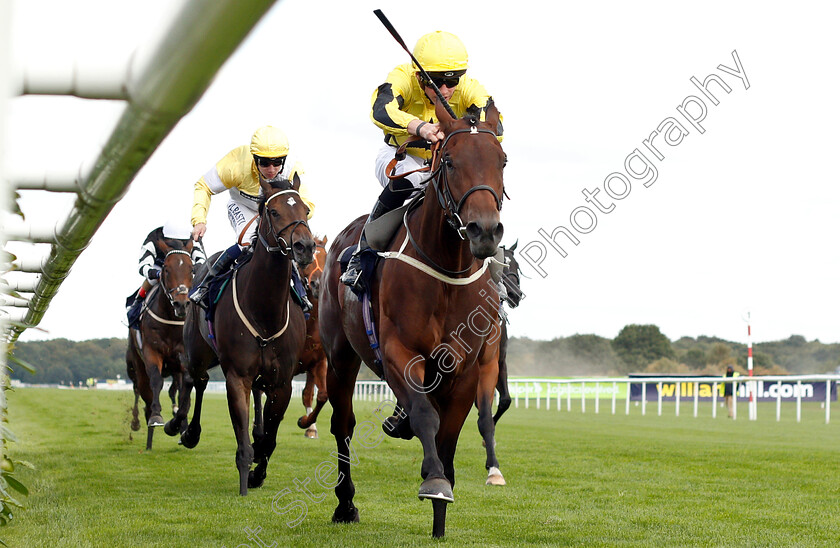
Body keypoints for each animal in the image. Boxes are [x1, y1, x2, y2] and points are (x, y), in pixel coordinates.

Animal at [124, 240, 195, 450]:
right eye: (166, 269)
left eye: (191, 269)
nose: (181, 304)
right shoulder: (151, 351)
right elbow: (156, 381)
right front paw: (156, 416)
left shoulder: (182, 357)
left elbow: (183, 391)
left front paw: (181, 423)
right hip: (135, 365)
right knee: (140, 391)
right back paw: (140, 424)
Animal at [178, 178, 316, 494]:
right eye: (274, 212)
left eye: (305, 209)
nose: (304, 246)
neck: (264, 311)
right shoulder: (236, 376)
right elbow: (242, 438)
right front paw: (245, 477)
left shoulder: (282, 381)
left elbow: (270, 439)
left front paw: (258, 471)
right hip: (198, 352)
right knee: (197, 380)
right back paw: (185, 431)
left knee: (253, 393)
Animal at [320, 99, 506, 536]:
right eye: (450, 161)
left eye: (503, 160)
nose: (484, 231)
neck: (447, 270)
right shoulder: (399, 351)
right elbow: (424, 416)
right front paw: (434, 481)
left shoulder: (466, 366)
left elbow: (450, 434)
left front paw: (440, 516)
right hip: (340, 356)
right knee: (343, 425)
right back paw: (345, 503)